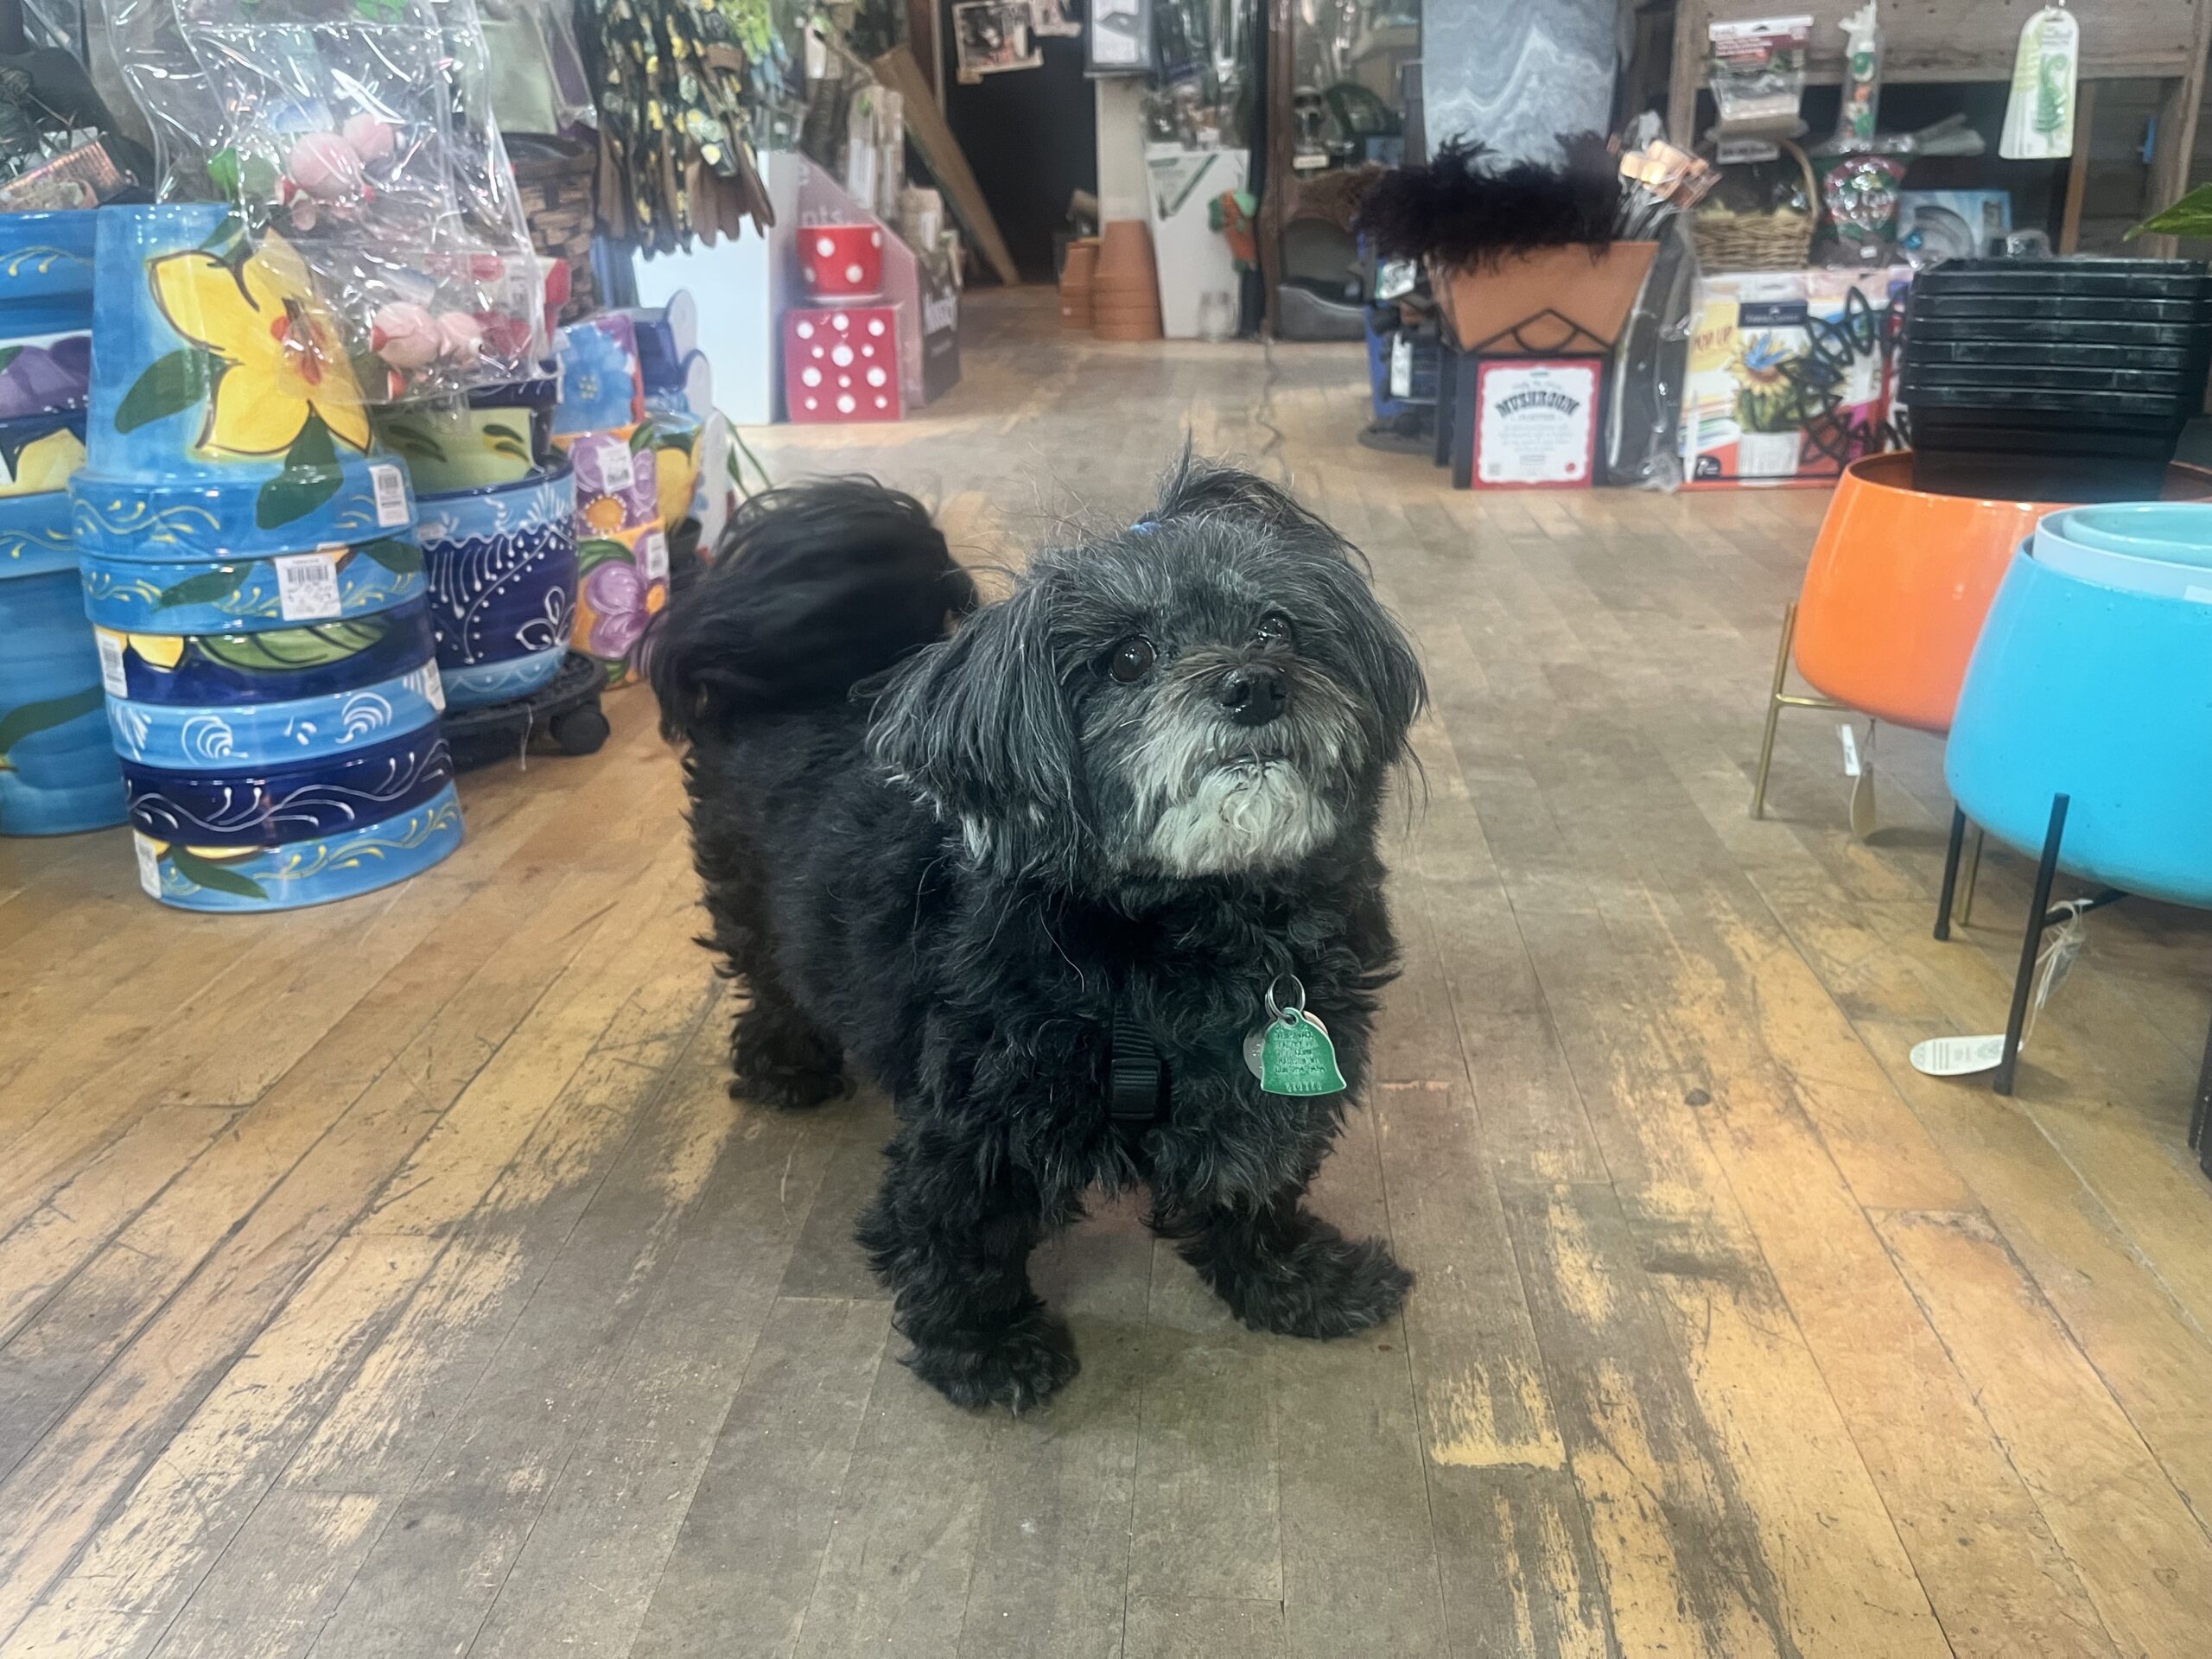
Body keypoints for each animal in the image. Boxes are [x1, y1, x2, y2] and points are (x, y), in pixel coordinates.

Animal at [645, 457, 1424, 1415]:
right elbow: (960, 1239)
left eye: (1278, 627)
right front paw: (986, 1348)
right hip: (749, 898)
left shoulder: (1264, 1088)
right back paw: (786, 1064)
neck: (1183, 930)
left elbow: (1258, 1190)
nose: (1256, 685)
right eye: (1126, 659)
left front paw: (1298, 1281)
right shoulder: (977, 1129)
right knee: (771, 977)